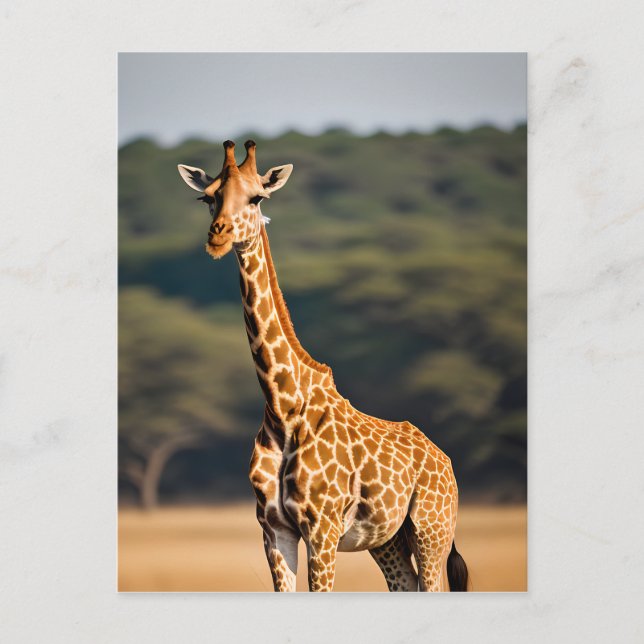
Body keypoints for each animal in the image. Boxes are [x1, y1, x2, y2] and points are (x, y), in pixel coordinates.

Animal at [177, 140, 469, 592]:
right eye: (208, 197)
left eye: (257, 198)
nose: (219, 235)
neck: (282, 405)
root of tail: (446, 462)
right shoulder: (273, 528)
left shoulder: (322, 528)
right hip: (386, 539)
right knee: (403, 583)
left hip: (432, 529)